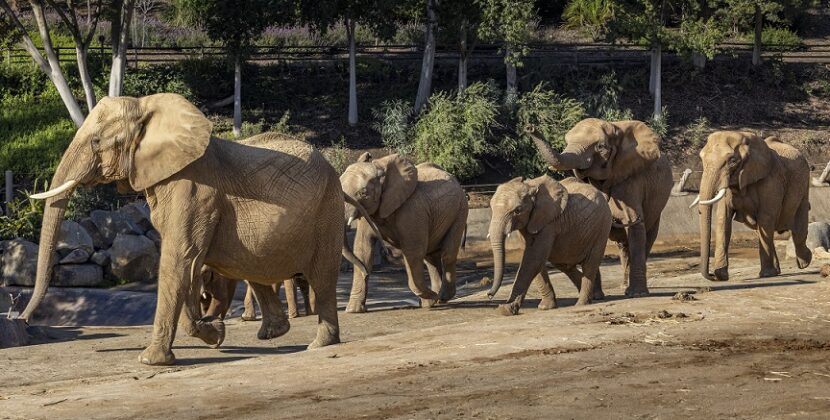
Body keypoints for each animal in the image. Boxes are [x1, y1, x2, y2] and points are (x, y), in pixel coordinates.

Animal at [19, 93, 345, 365]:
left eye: (96, 142)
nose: (23, 318)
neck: (146, 107)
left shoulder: (195, 189)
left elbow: (180, 259)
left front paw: (151, 361)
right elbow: (186, 265)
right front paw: (215, 333)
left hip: (328, 209)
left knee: (322, 276)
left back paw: (319, 344)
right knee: (254, 268)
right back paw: (274, 333)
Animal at [340, 153, 469, 312]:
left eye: (363, 193)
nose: (366, 272)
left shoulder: (411, 210)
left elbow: (412, 252)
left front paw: (430, 298)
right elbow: (363, 249)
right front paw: (353, 310)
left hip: (460, 210)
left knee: (447, 253)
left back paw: (442, 297)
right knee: (430, 257)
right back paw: (437, 299)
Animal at [487, 176, 612, 315]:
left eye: (518, 210)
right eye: (491, 208)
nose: (489, 295)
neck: (530, 186)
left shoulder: (548, 224)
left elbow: (533, 258)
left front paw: (506, 309)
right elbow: (535, 260)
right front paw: (545, 307)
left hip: (602, 226)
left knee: (590, 263)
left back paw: (582, 303)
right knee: (564, 264)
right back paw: (594, 296)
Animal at [528, 119, 673, 297]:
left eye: (601, 146)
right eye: (567, 142)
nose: (530, 127)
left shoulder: (631, 179)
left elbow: (635, 227)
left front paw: (637, 295)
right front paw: (595, 297)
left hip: (657, 205)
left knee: (647, 235)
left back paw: (630, 290)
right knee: (623, 245)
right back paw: (623, 286)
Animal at [693, 131, 812, 280]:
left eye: (732, 161)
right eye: (702, 158)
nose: (711, 275)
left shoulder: (771, 181)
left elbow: (766, 218)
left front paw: (766, 275)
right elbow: (723, 219)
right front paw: (721, 276)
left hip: (804, 186)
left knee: (798, 226)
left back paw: (804, 263)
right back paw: (778, 270)